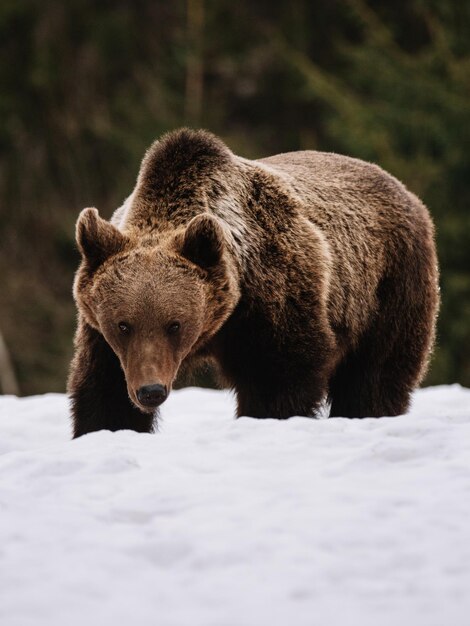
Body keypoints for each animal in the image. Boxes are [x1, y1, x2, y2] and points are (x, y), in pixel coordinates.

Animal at [68, 129, 438, 436]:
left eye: (174, 324)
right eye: (123, 325)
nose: (151, 391)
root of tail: (403, 189)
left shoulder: (274, 301)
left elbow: (279, 381)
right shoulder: (102, 337)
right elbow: (104, 393)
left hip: (390, 286)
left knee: (374, 376)